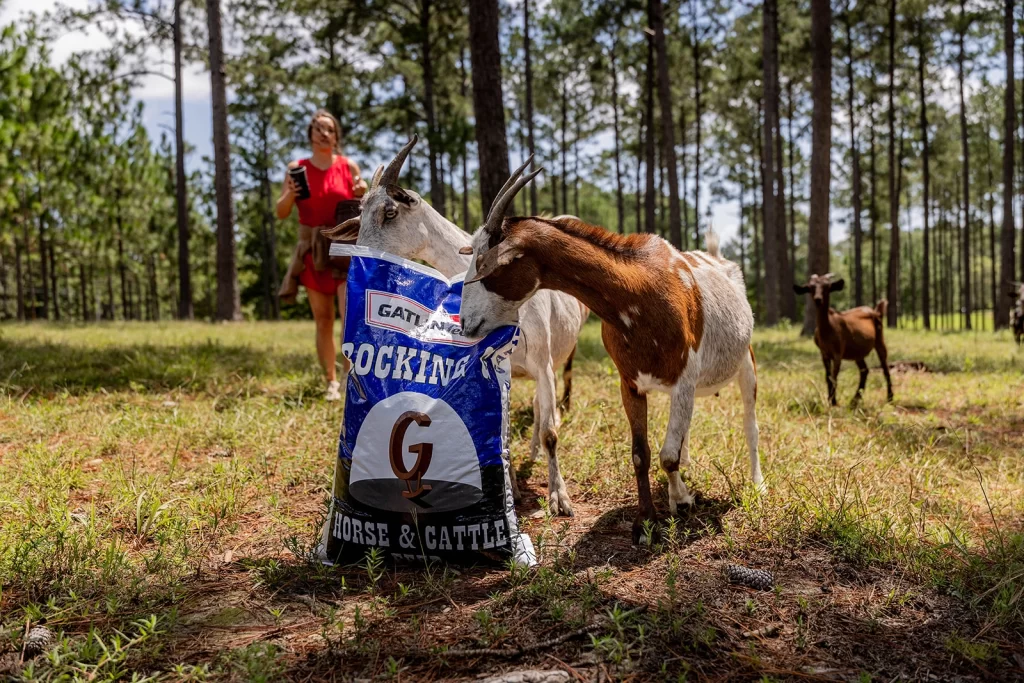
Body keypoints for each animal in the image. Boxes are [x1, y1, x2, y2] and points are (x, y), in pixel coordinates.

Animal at [325, 137, 589, 517]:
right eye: (360, 215)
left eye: (389, 212)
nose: (360, 260)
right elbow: (502, 430)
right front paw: (513, 490)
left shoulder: (542, 362)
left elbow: (552, 431)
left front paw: (560, 498)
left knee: (546, 411)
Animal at [457, 164, 763, 543]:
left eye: (487, 267)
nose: (466, 323)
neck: (640, 290)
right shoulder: (629, 382)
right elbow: (642, 454)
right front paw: (646, 521)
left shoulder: (684, 379)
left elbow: (667, 456)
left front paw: (676, 504)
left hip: (746, 363)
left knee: (750, 425)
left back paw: (756, 484)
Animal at [794, 274, 893, 406]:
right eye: (810, 287)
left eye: (827, 287)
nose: (818, 299)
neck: (827, 330)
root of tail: (876, 311)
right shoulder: (824, 353)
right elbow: (827, 377)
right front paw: (830, 399)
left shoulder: (838, 353)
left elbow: (834, 377)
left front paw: (833, 401)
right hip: (857, 352)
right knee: (864, 370)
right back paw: (855, 399)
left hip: (879, 339)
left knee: (885, 368)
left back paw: (890, 397)